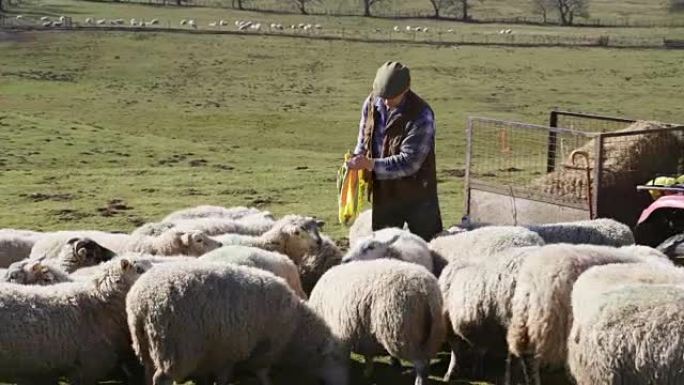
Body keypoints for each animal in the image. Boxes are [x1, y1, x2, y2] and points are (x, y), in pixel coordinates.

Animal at [126, 260, 350, 384]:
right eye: (336, 358)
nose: (348, 382)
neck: (296, 329)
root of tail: (141, 302)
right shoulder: (257, 347)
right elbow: (258, 372)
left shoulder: (223, 350)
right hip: (176, 348)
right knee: (161, 378)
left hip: (146, 345)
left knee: (148, 372)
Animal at [308, 258, 446, 384]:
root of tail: (426, 291)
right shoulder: (362, 332)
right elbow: (368, 355)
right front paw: (368, 372)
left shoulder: (342, 337)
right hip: (432, 335)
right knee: (426, 362)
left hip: (404, 334)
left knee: (421, 364)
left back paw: (418, 381)